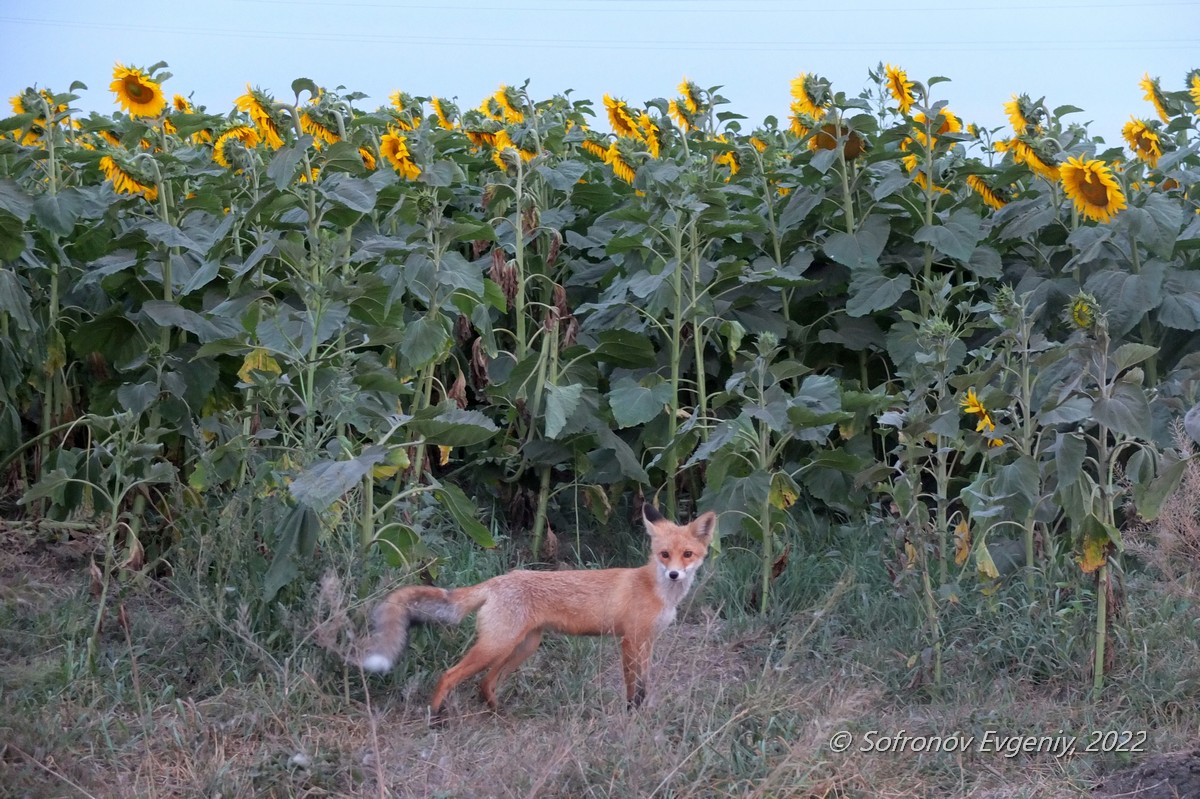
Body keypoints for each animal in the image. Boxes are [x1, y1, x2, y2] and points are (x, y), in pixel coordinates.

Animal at [360, 501, 715, 710]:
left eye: (687, 555)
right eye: (664, 554)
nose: (673, 574)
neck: (657, 591)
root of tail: (498, 580)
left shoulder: (648, 642)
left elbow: (645, 682)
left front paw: (644, 711)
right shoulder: (630, 640)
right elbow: (632, 686)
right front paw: (632, 715)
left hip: (523, 646)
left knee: (485, 684)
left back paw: (498, 715)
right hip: (497, 646)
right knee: (450, 675)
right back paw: (435, 717)